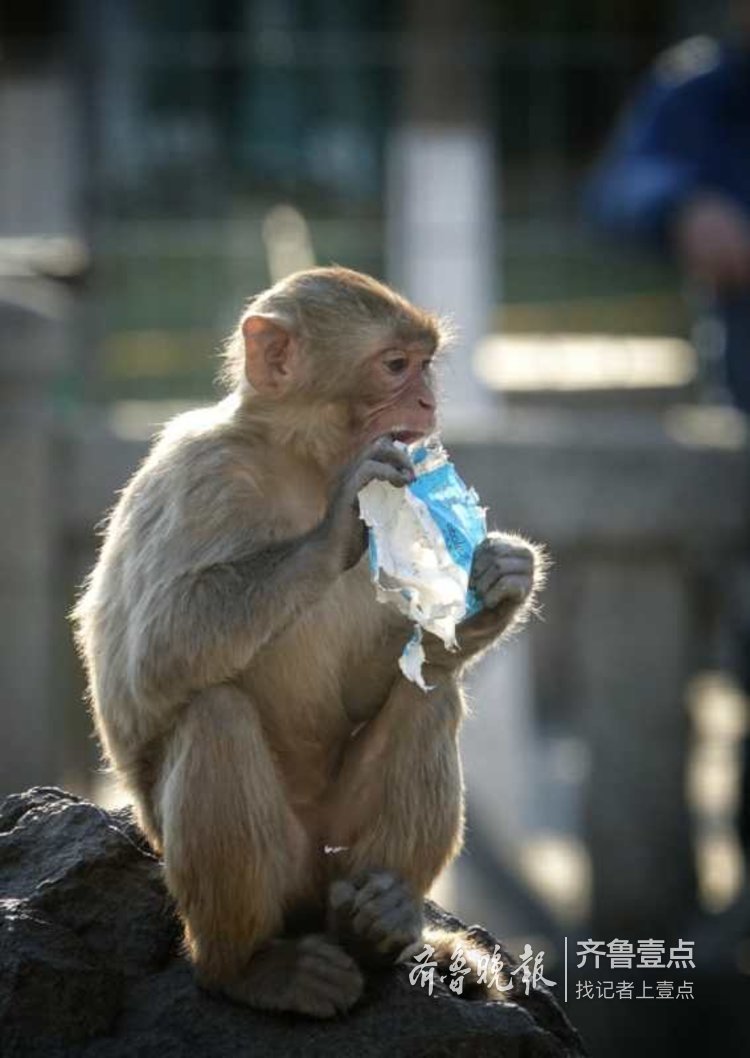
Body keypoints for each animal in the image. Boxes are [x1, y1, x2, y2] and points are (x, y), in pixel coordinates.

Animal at [72, 266, 545, 1015]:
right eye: (394, 365)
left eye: (425, 365)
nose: (429, 400)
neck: (299, 460)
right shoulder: (194, 474)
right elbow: (147, 663)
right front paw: (333, 529)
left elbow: (380, 684)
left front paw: (493, 586)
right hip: (284, 869)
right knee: (215, 716)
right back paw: (249, 967)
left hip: (337, 854)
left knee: (431, 697)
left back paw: (380, 924)